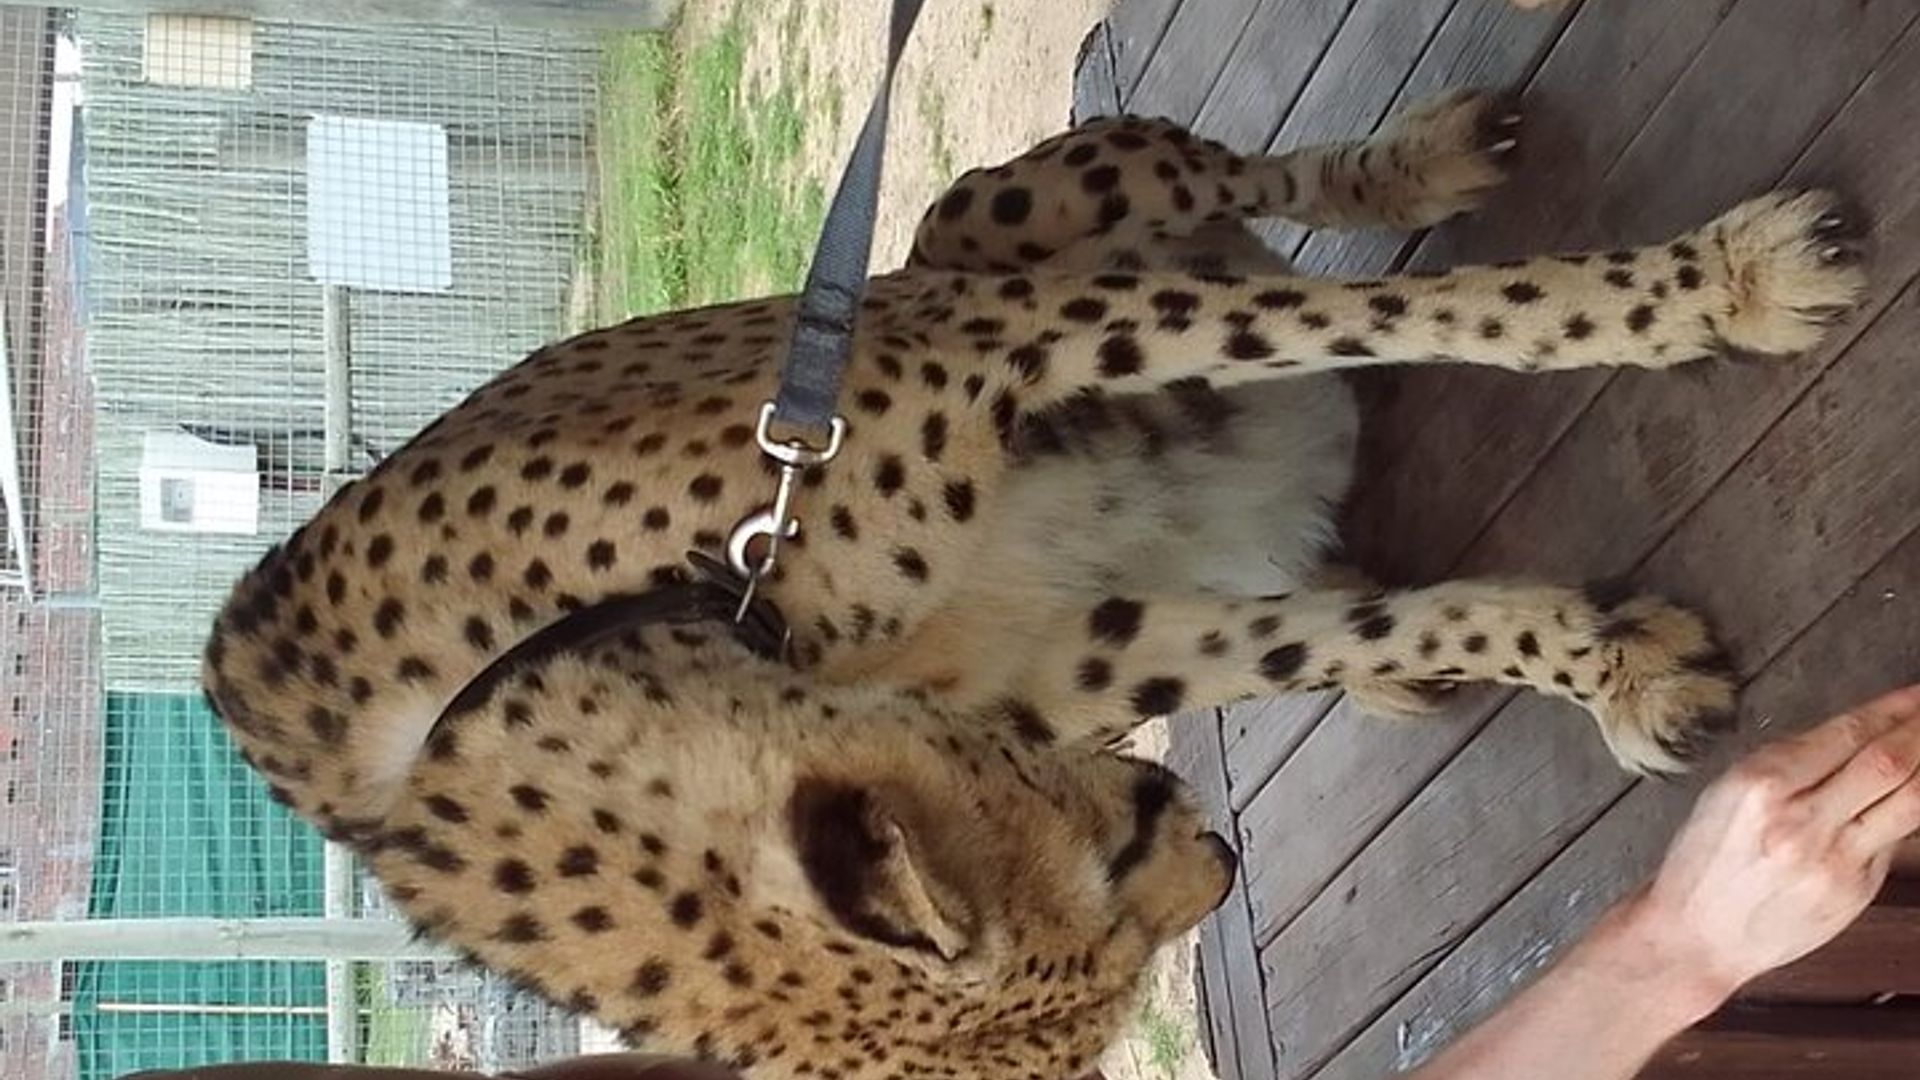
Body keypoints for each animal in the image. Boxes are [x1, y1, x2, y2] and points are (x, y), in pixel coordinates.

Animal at [200, 87, 1866, 1080]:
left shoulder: (1012, 334)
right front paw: (1574, 657)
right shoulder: (1093, 650)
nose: (1224, 867)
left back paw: (1409, 163)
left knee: (1254, 198)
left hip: (980, 229)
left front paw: (1707, 292)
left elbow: (1466, 312)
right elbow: (1311, 632)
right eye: (1132, 861)